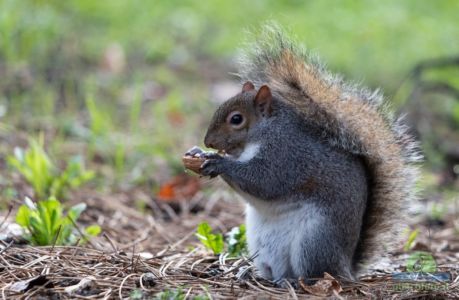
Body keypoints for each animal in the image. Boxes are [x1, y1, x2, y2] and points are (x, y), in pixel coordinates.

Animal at [190, 27, 420, 282]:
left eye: (236, 119)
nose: (208, 142)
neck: (263, 133)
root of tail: (346, 266)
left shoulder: (286, 154)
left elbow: (264, 181)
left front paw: (219, 162)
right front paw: (199, 153)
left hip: (315, 240)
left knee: (316, 272)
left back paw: (296, 281)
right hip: (261, 243)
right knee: (274, 269)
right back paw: (256, 274)